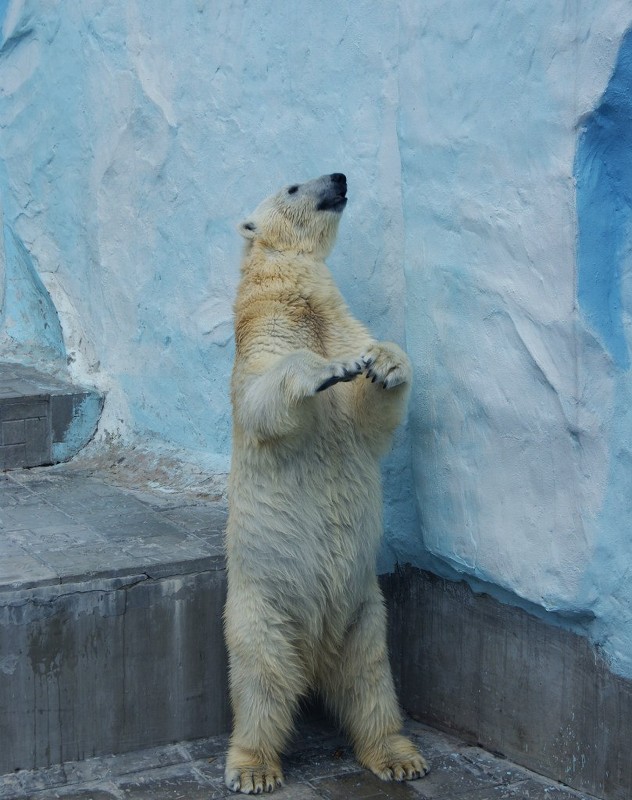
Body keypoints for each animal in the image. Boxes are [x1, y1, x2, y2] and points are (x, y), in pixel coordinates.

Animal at [225, 172, 428, 792]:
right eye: (293, 186)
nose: (339, 177)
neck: (299, 297)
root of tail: (315, 657)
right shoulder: (264, 334)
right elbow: (266, 395)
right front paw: (325, 371)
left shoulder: (342, 324)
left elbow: (372, 411)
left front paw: (384, 362)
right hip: (260, 603)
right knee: (262, 679)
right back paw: (253, 766)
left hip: (366, 611)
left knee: (371, 679)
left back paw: (398, 755)